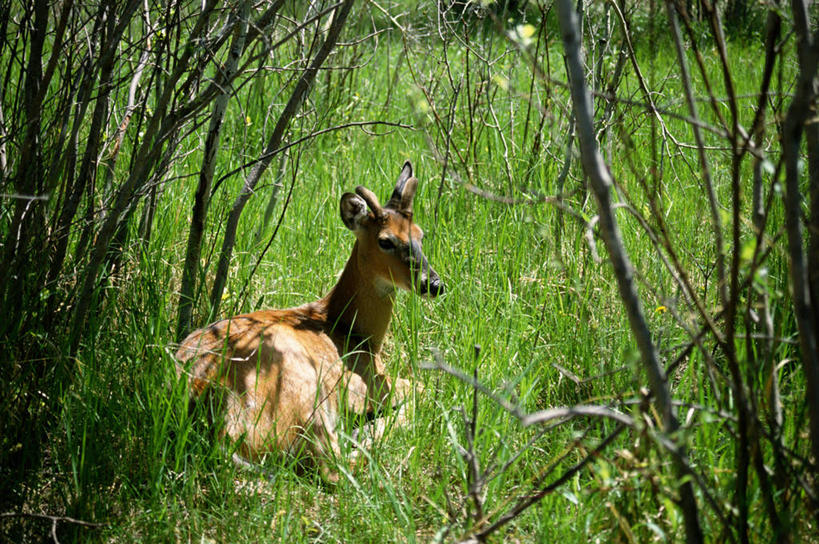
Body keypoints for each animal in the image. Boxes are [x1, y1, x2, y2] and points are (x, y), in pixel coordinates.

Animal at [175, 161, 443, 483]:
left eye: (421, 235)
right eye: (385, 241)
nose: (434, 284)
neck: (351, 331)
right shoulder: (364, 384)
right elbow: (423, 389)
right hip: (303, 394)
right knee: (335, 466)